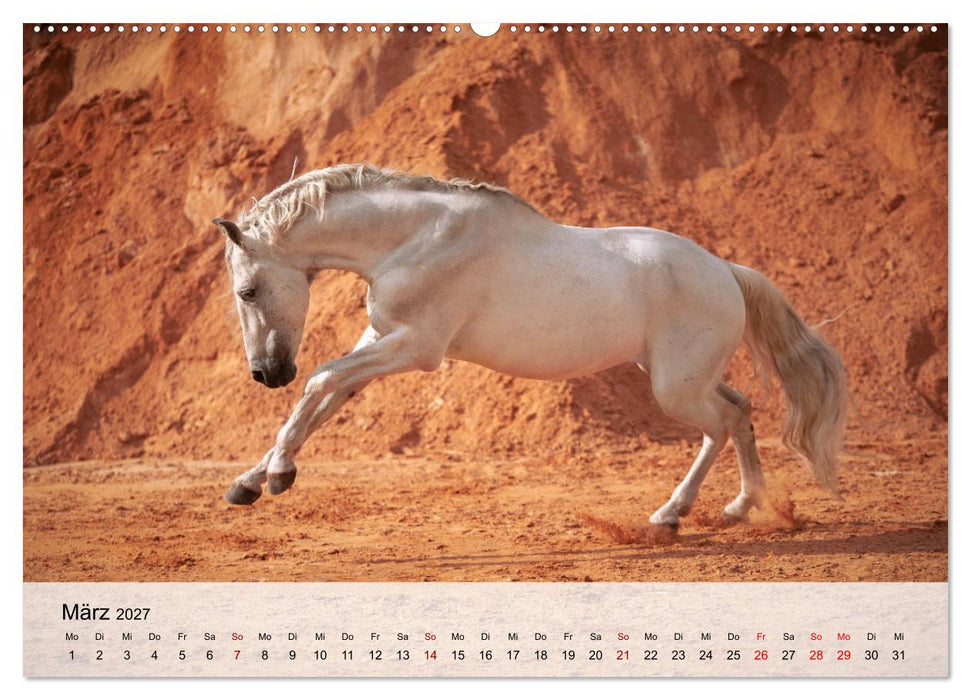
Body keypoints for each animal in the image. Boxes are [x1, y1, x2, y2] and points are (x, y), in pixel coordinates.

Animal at [212, 163, 846, 529]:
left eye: (247, 290)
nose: (266, 373)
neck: (415, 238)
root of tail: (727, 271)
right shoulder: (381, 339)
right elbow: (323, 402)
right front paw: (247, 483)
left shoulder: (416, 348)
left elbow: (319, 380)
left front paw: (279, 476)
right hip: (683, 375)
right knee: (740, 410)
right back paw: (739, 507)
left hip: (676, 389)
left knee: (721, 424)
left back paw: (674, 513)